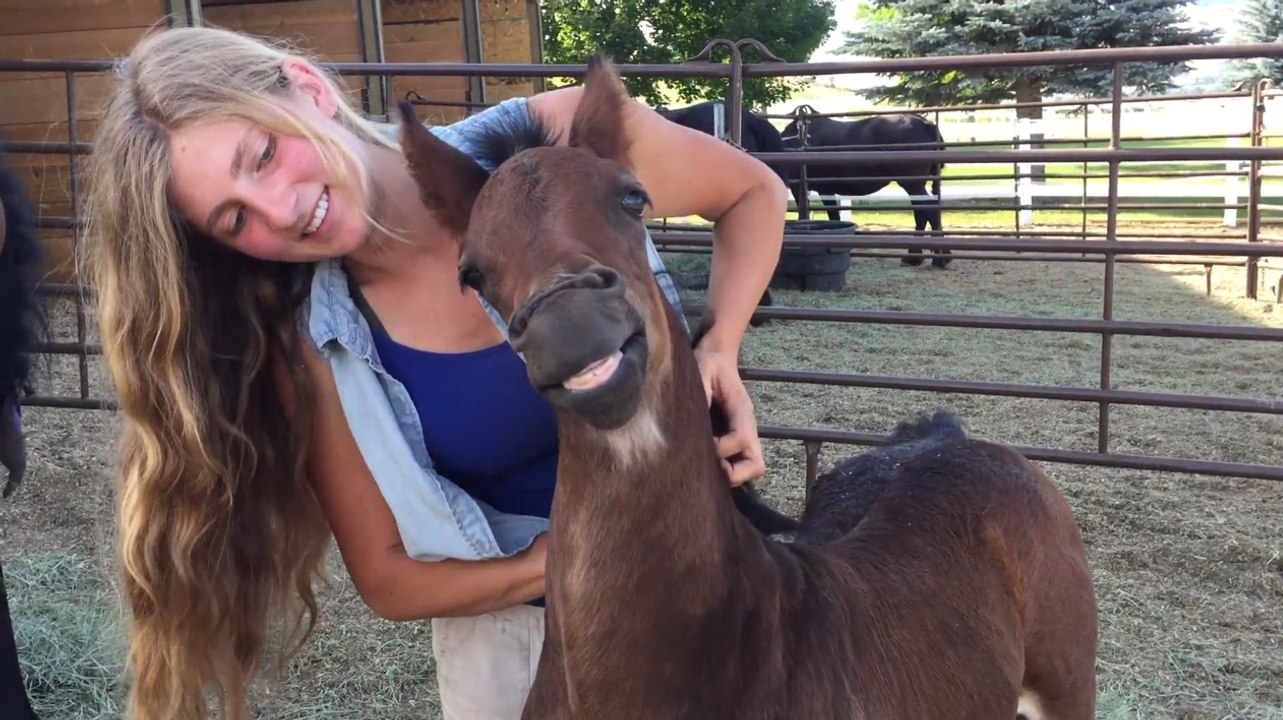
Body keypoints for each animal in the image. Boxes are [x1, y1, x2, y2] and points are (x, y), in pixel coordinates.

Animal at [782, 107, 953, 269]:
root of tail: (926, 124)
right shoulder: (825, 189)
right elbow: (834, 217)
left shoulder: (800, 188)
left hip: (913, 184)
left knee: (926, 210)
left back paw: (923, 258)